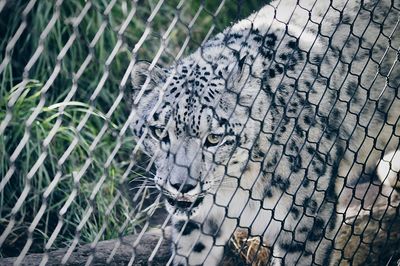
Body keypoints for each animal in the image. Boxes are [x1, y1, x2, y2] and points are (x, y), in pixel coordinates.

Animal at [130, 0, 398, 264]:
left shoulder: (305, 221)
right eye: (159, 132)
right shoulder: (202, 219)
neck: (235, 187)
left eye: (214, 138)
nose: (182, 186)